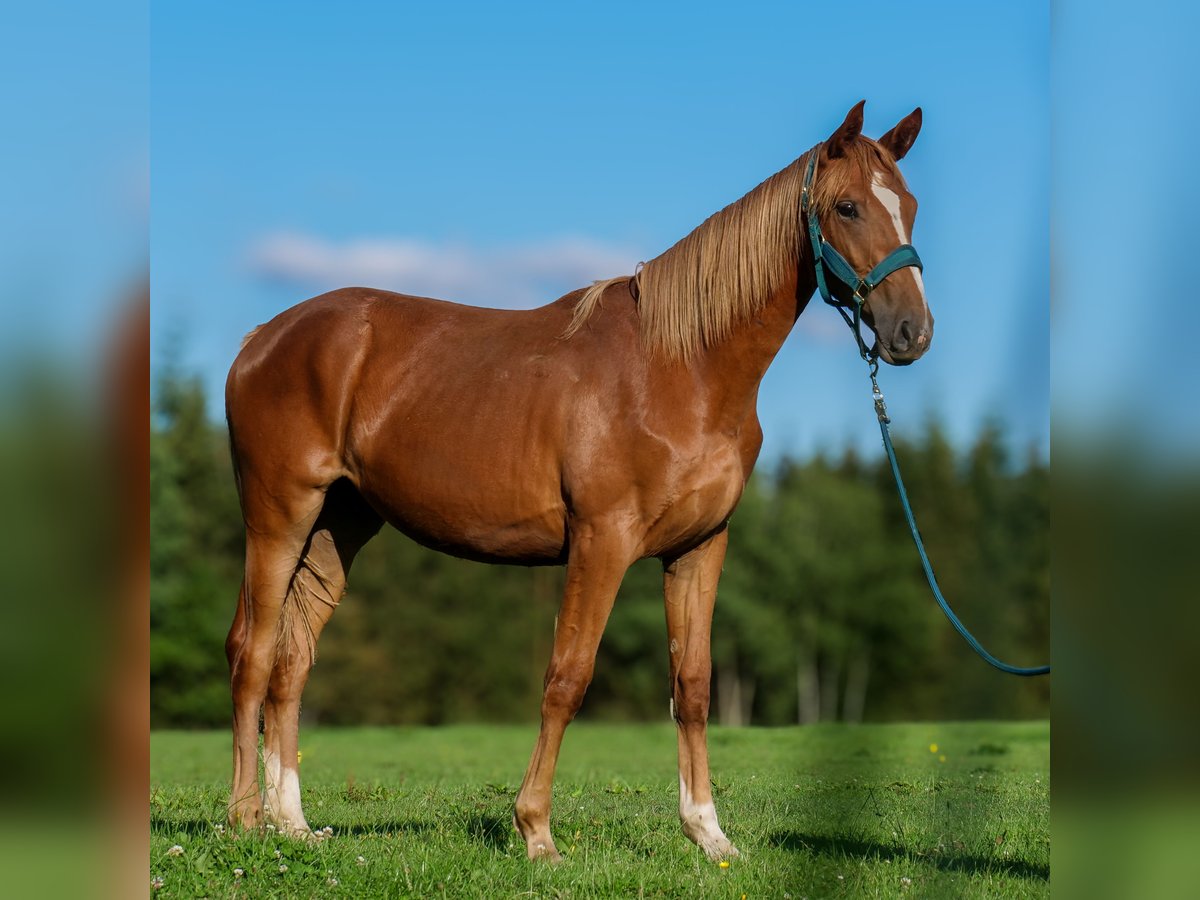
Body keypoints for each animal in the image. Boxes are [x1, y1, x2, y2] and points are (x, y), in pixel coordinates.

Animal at [226, 102, 936, 864]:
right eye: (848, 206)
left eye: (910, 206)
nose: (912, 332)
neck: (681, 369)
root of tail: (263, 335)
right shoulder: (602, 541)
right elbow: (567, 677)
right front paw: (536, 831)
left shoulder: (700, 547)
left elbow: (692, 684)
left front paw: (708, 834)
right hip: (279, 516)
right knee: (252, 651)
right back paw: (243, 818)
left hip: (340, 525)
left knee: (293, 661)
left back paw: (293, 823)